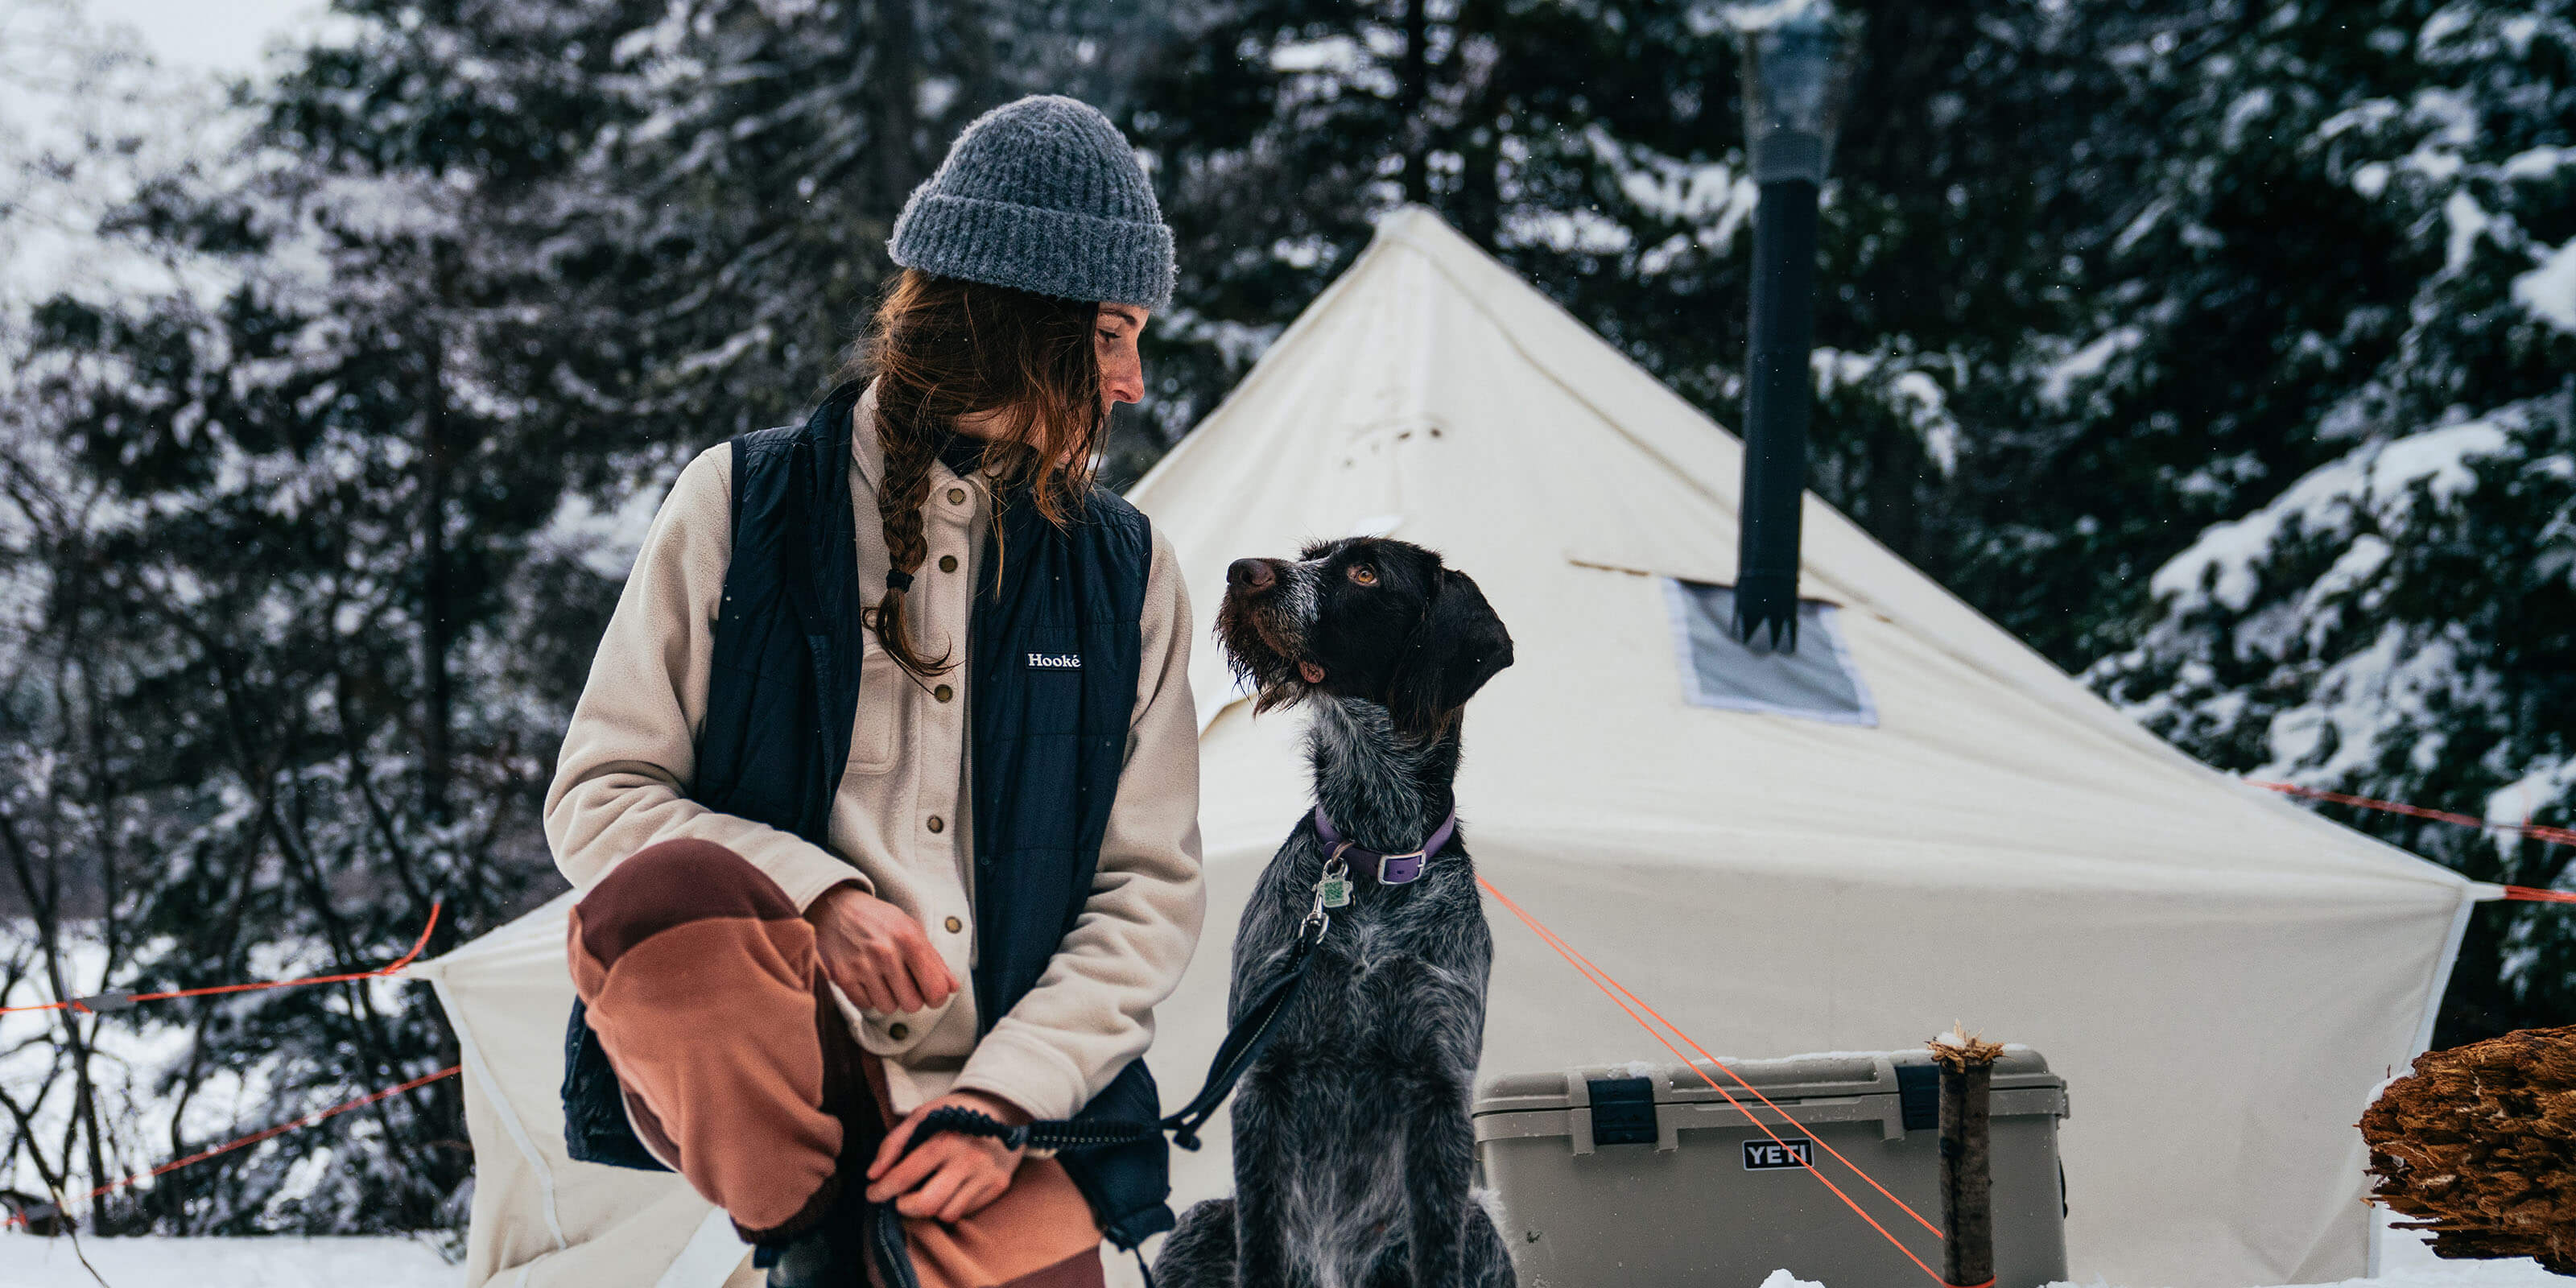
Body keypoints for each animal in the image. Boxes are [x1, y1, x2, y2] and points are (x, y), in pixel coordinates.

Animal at [1154, 533, 1525, 1288]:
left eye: (1365, 572)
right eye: (1311, 554)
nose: (1240, 571)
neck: (1370, 852)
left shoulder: (1441, 1086)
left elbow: (1437, 1242)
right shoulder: (1264, 1074)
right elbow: (1264, 1242)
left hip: (1482, 1229)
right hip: (1199, 1222)